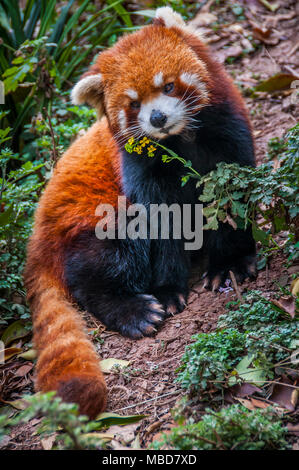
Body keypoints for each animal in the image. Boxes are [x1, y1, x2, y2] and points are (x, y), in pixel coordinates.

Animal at [24, 6, 256, 418]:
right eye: (133, 103)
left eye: (169, 87)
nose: (157, 118)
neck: (181, 142)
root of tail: (38, 237)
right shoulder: (139, 170)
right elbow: (161, 224)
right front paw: (167, 291)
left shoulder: (228, 132)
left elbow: (231, 196)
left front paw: (230, 262)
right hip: (93, 220)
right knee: (103, 261)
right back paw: (131, 308)